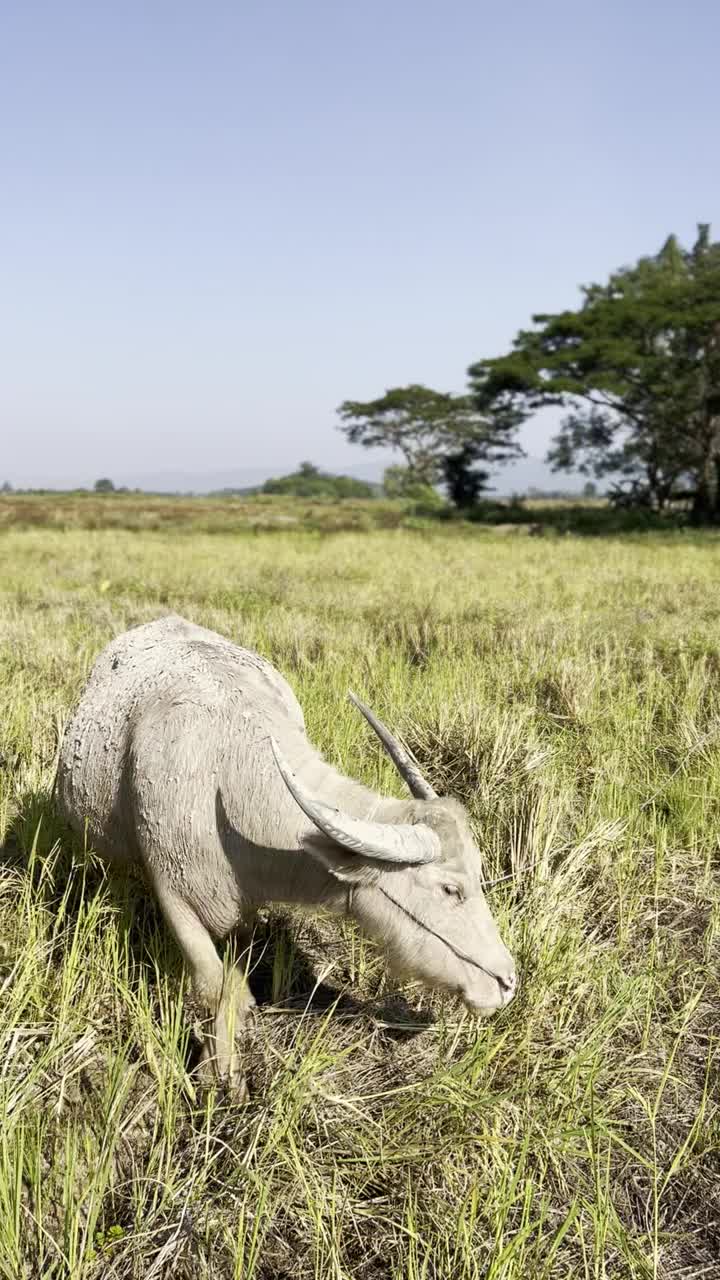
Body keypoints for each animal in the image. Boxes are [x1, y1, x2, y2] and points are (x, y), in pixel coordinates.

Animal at [57, 614, 515, 1095]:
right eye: (450, 889)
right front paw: (219, 1079)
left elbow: (237, 985)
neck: (226, 783)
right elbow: (214, 986)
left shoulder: (242, 912)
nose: (507, 982)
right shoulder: (176, 899)